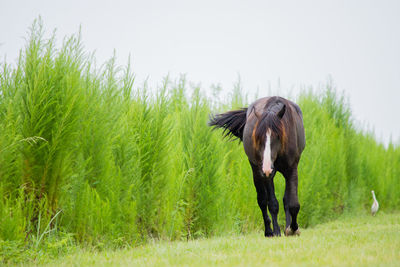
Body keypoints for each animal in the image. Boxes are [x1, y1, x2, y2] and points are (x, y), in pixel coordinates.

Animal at [208, 96, 304, 237]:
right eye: (258, 137)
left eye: (278, 136)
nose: (267, 168)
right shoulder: (267, 174)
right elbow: (272, 203)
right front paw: (277, 231)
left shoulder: (292, 169)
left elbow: (292, 203)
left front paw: (292, 228)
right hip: (257, 171)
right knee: (263, 201)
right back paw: (269, 231)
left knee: (284, 200)